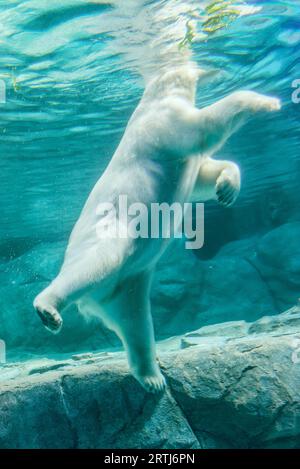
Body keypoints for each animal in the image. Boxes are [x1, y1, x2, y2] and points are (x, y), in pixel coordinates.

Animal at [34, 65, 280, 392]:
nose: (209, 70)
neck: (153, 100)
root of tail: (96, 301)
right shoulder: (163, 123)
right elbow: (204, 127)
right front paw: (267, 101)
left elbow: (202, 176)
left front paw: (227, 189)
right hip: (109, 239)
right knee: (95, 264)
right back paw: (48, 309)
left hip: (131, 285)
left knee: (137, 324)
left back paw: (152, 377)